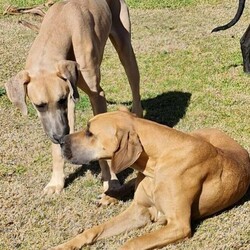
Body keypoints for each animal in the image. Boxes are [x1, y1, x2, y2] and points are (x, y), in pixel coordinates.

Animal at [5, 0, 143, 200]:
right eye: (39, 106)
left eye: (61, 100)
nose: (59, 136)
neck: (60, 25)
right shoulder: (68, 100)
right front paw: (56, 182)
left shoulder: (95, 95)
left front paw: (111, 182)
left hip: (125, 46)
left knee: (134, 82)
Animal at [51, 109, 250, 250]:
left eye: (89, 133)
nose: (60, 140)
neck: (157, 161)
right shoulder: (138, 211)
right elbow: (93, 230)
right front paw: (65, 245)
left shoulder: (179, 225)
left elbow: (133, 242)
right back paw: (110, 195)